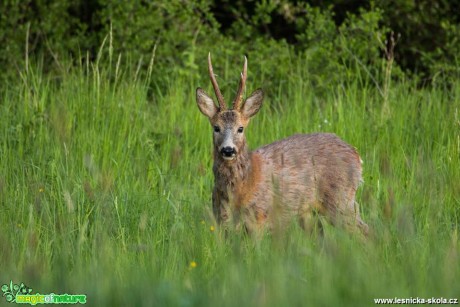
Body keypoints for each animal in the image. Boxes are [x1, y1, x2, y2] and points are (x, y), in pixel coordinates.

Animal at [196, 53, 368, 236]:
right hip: (310, 213)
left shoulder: (259, 217)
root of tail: (356, 155)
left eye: (240, 128)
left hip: (340, 199)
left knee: (366, 231)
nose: (228, 150)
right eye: (216, 127)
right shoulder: (221, 221)